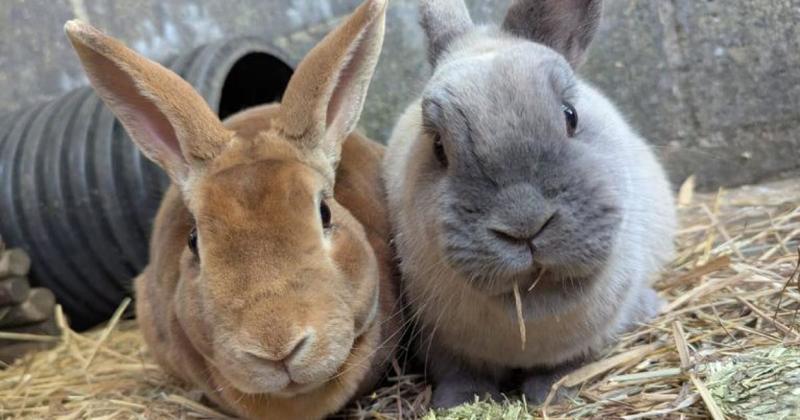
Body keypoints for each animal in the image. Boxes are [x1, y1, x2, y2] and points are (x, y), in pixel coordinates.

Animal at [383, 0, 677, 408]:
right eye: (438, 148)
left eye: (570, 115)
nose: (525, 226)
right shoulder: (435, 337)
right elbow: (457, 371)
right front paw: (461, 401)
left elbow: (569, 363)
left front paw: (550, 392)